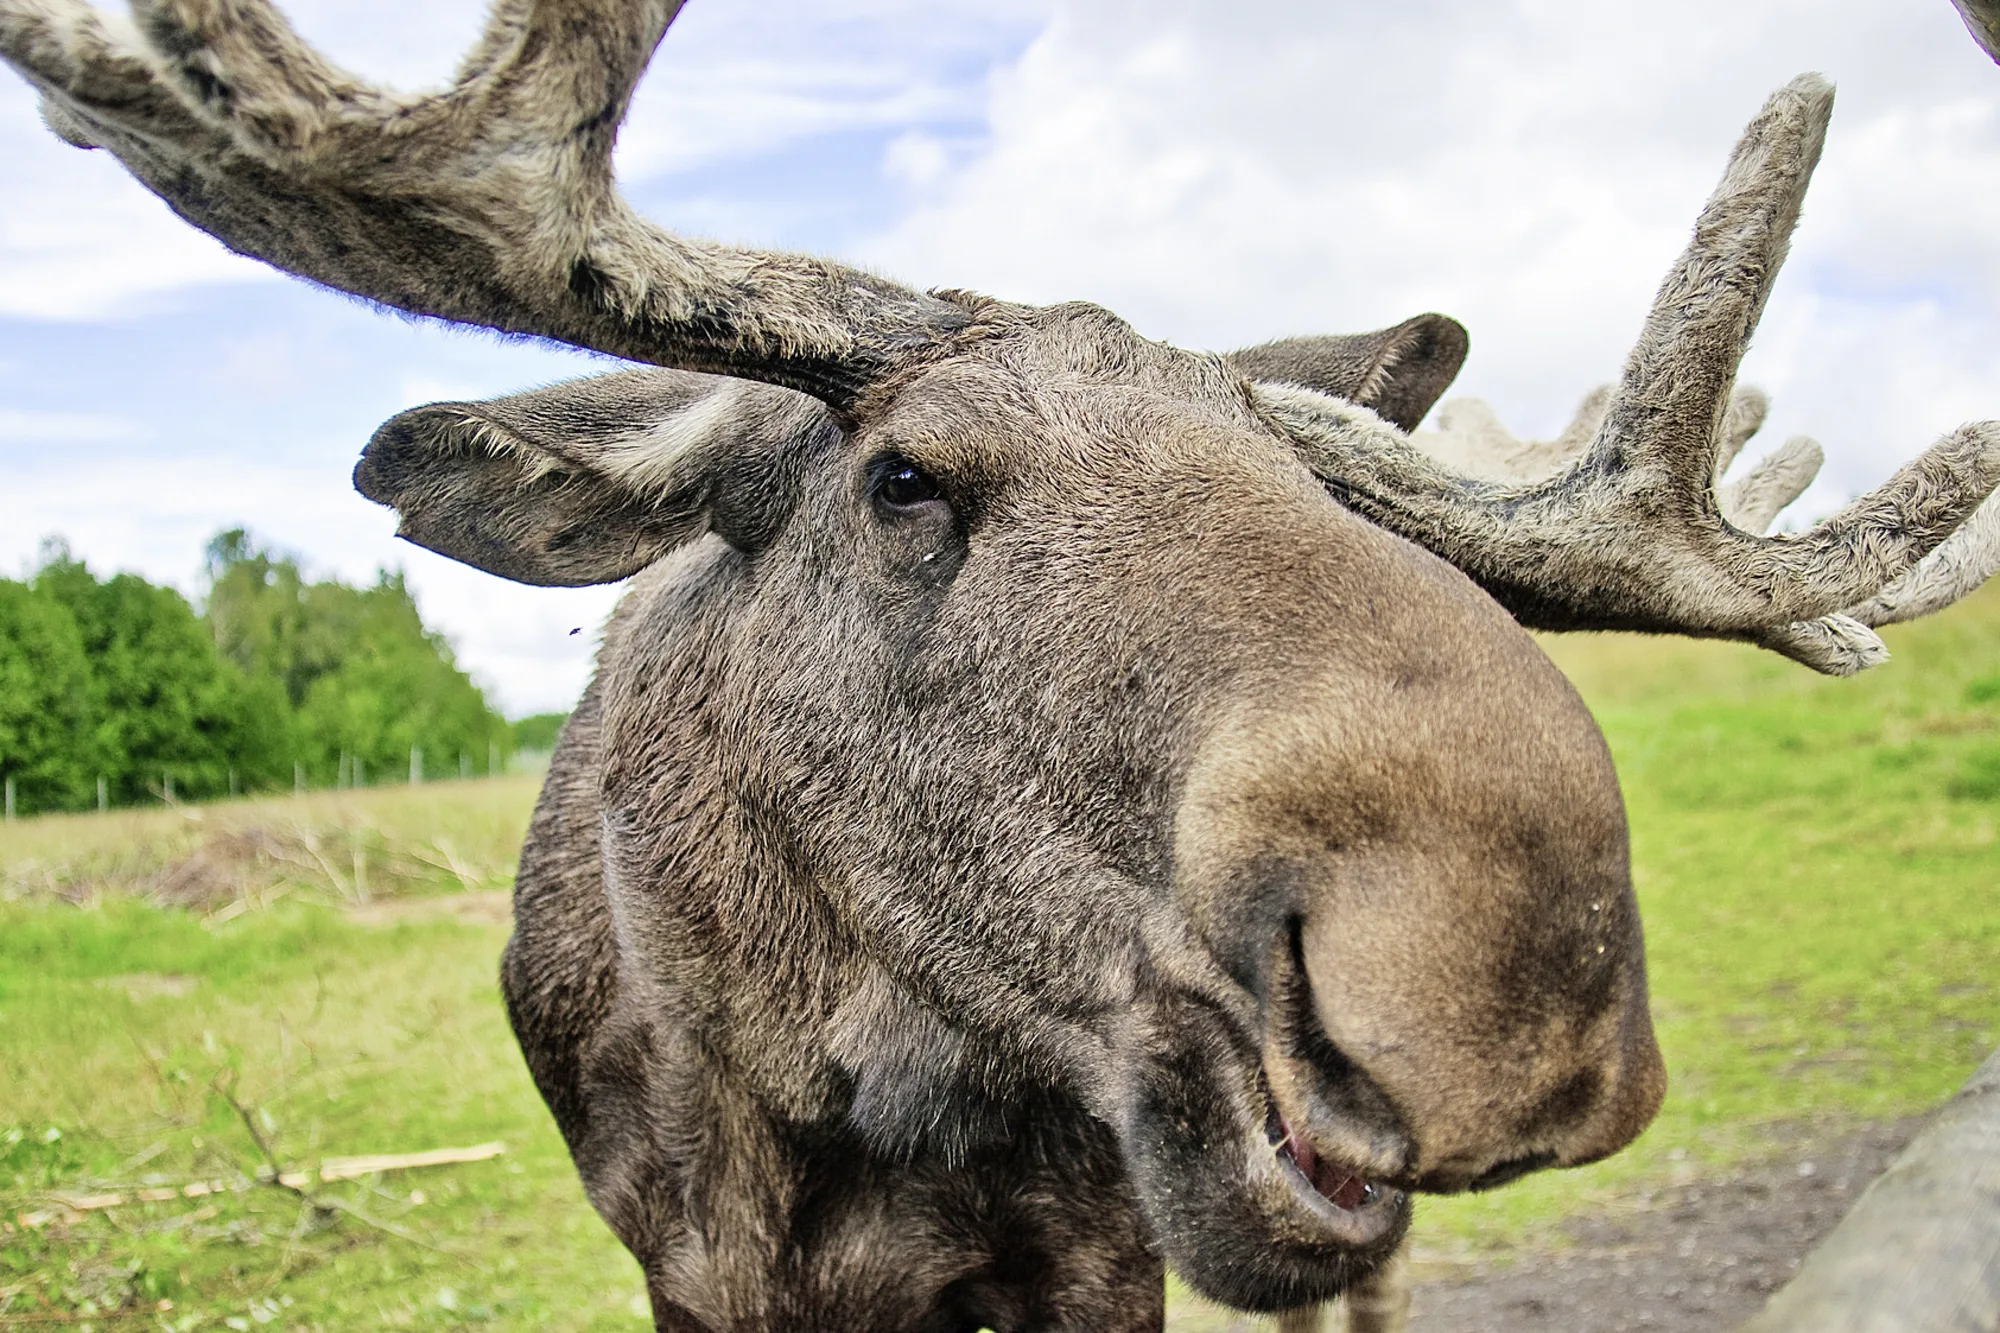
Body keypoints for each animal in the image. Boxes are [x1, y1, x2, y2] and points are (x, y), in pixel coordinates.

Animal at [3, 3, 1997, 1330]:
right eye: (904, 478)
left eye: (1331, 483)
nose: (1523, 974)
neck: (825, 1091)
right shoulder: (691, 1264)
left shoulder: (1095, 1254)